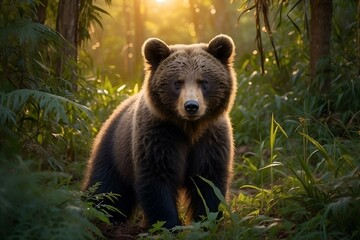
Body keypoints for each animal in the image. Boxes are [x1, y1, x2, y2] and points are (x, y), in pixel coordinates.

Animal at [83, 34, 238, 229]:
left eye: (203, 82)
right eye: (177, 82)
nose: (191, 106)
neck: (189, 128)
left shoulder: (211, 139)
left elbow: (209, 182)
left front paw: (206, 221)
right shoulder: (159, 136)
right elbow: (157, 179)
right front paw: (169, 225)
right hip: (114, 151)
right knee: (105, 189)